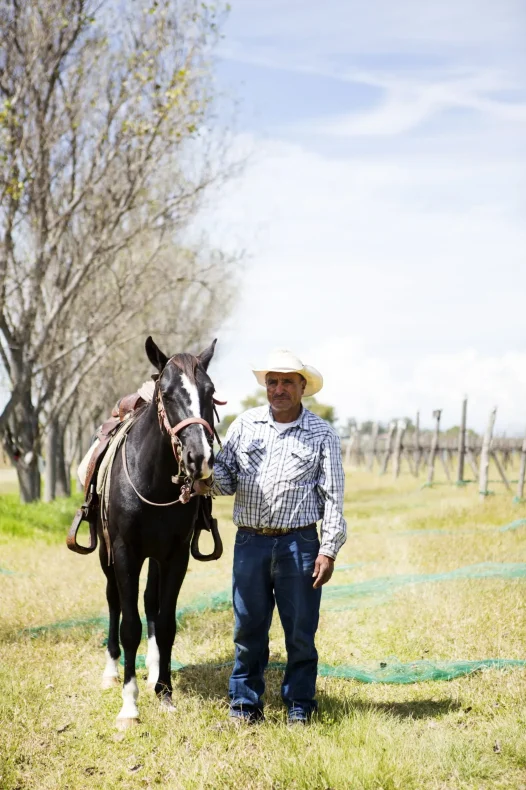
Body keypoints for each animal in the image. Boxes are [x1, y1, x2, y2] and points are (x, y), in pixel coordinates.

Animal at [99, 336, 219, 728]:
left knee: (151, 602)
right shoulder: (125, 552)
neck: (153, 479)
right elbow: (130, 625)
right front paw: (129, 705)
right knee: (113, 601)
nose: (200, 458)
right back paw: (111, 671)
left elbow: (165, 622)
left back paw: (152, 671)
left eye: (210, 392)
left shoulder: (175, 555)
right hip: (107, 555)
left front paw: (164, 692)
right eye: (166, 393)